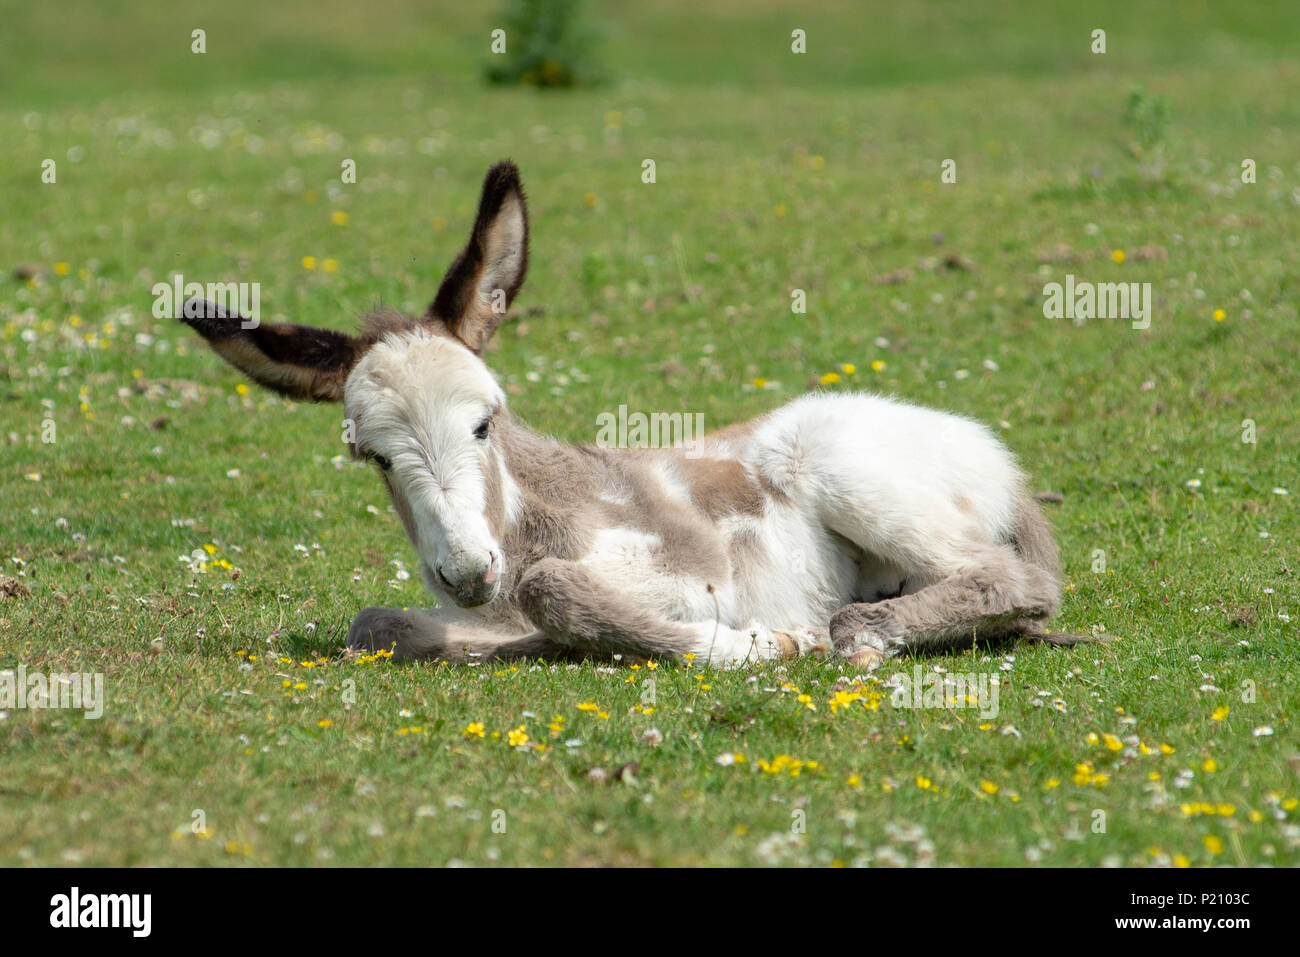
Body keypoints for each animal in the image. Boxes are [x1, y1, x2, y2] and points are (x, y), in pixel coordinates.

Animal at [180, 158, 1076, 665]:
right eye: (374, 456)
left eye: (484, 422)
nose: (467, 573)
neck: (528, 520)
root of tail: (989, 451)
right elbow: (375, 624)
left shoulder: (690, 568)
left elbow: (555, 587)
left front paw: (765, 642)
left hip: (843, 467)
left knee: (1011, 577)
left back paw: (855, 632)